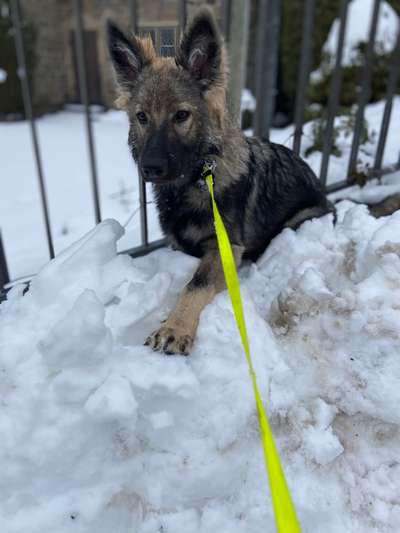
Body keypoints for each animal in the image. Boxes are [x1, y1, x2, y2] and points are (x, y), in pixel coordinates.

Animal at [107, 7, 334, 354]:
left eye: (181, 116)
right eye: (141, 117)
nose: (150, 168)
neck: (197, 180)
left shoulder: (225, 247)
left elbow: (195, 285)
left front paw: (175, 327)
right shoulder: (178, 242)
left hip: (299, 221)